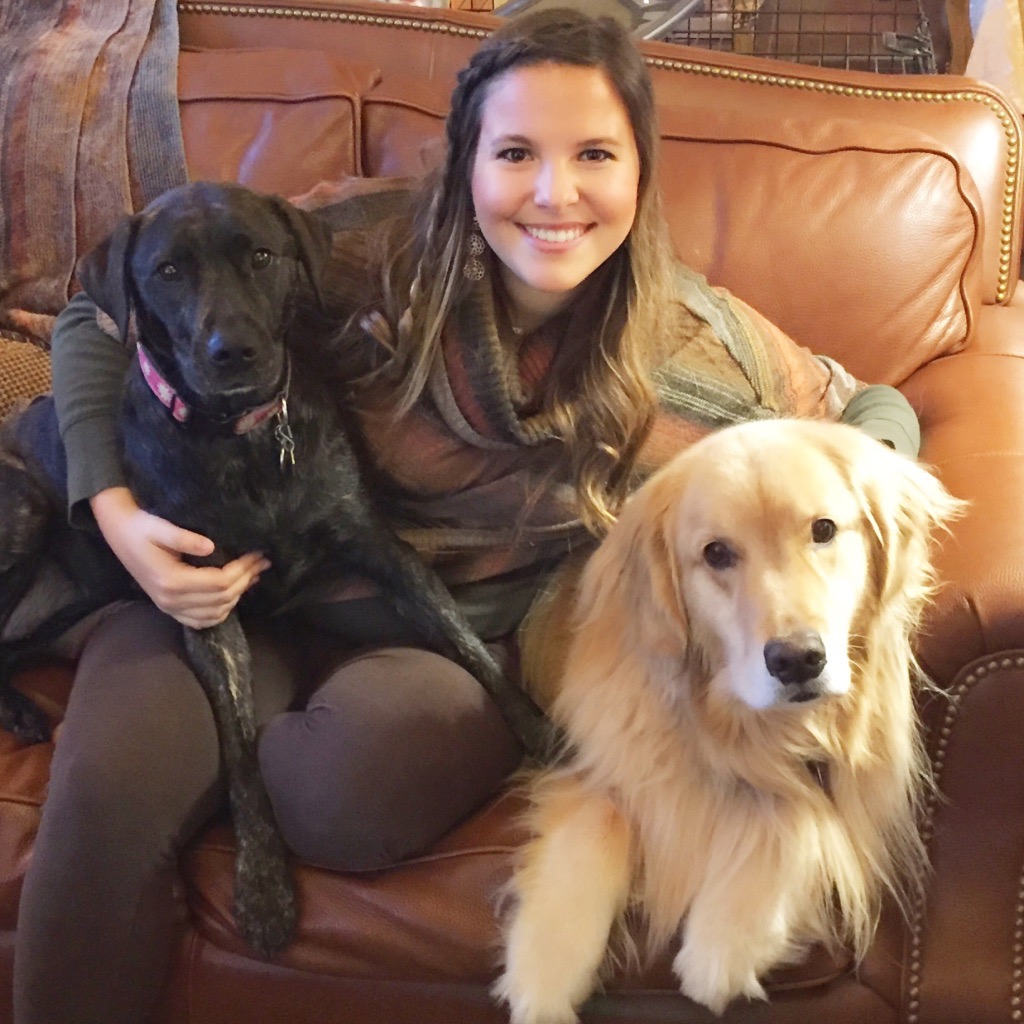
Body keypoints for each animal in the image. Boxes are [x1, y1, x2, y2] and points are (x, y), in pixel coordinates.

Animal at [0, 180, 552, 954]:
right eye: (168, 271)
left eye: (261, 256)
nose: (233, 351)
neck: (245, 441)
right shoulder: (204, 607)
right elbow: (240, 753)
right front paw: (262, 886)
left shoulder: (379, 546)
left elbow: (467, 641)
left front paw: (536, 726)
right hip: (22, 503)